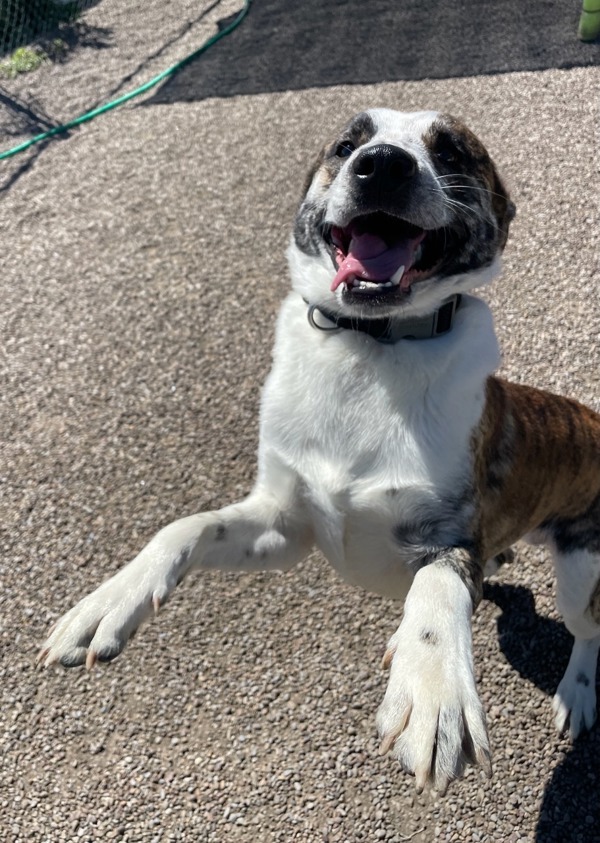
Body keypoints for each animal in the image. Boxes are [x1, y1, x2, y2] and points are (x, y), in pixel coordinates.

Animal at [38, 109, 600, 796]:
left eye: (450, 151)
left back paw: (576, 693)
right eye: (346, 144)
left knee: (588, 632)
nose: (381, 165)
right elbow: (187, 527)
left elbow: (437, 591)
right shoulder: (284, 526)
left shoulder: (449, 535)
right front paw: (106, 603)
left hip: (580, 572)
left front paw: (435, 693)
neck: (370, 349)